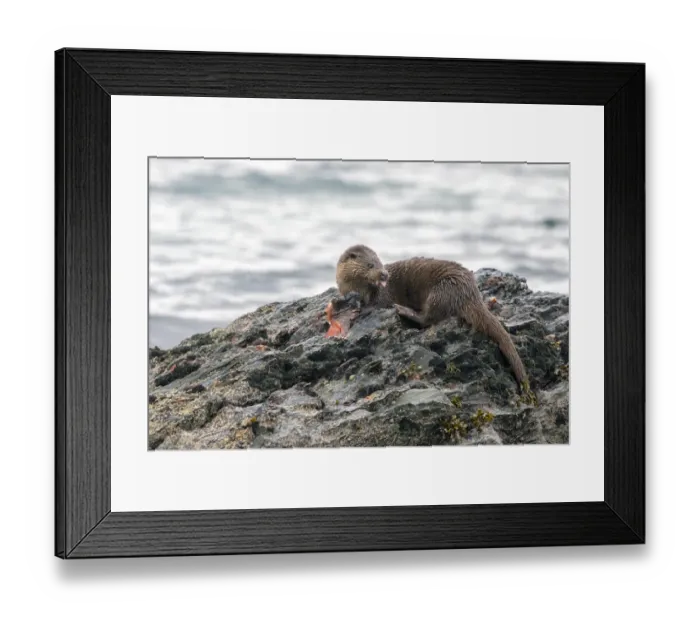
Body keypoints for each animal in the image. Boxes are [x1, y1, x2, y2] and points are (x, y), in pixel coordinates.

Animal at [335, 244, 529, 387]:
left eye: (380, 263)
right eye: (370, 265)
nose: (384, 274)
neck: (359, 289)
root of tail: (471, 292)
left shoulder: (384, 293)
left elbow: (379, 304)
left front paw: (359, 312)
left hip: (441, 291)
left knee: (429, 318)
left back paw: (405, 310)